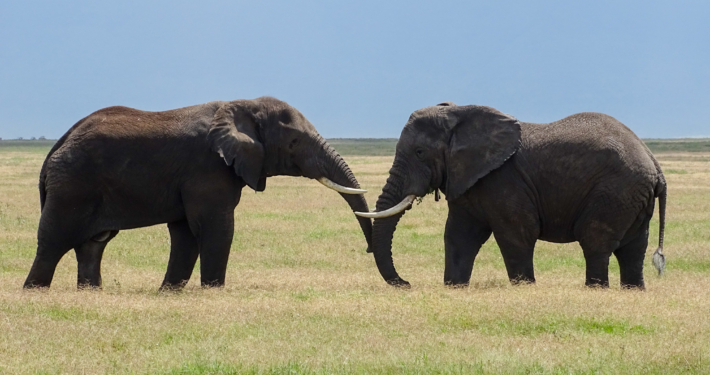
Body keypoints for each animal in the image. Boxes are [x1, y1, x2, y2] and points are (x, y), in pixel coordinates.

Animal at [25, 97, 376, 290]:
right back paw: (34, 292)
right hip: (73, 185)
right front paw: (213, 291)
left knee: (92, 245)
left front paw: (168, 293)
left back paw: (91, 293)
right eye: (294, 143)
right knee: (54, 241)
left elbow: (185, 233)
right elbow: (214, 227)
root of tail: (57, 146)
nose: (370, 250)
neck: (242, 105)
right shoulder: (207, 169)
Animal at [362, 103, 668, 290]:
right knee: (633, 249)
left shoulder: (504, 179)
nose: (406, 283)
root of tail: (654, 164)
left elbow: (516, 234)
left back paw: (596, 290)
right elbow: (459, 236)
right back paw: (632, 291)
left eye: (419, 152)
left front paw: (524, 288)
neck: (460, 113)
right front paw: (455, 287)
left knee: (596, 241)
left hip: (615, 191)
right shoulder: (468, 180)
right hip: (631, 197)